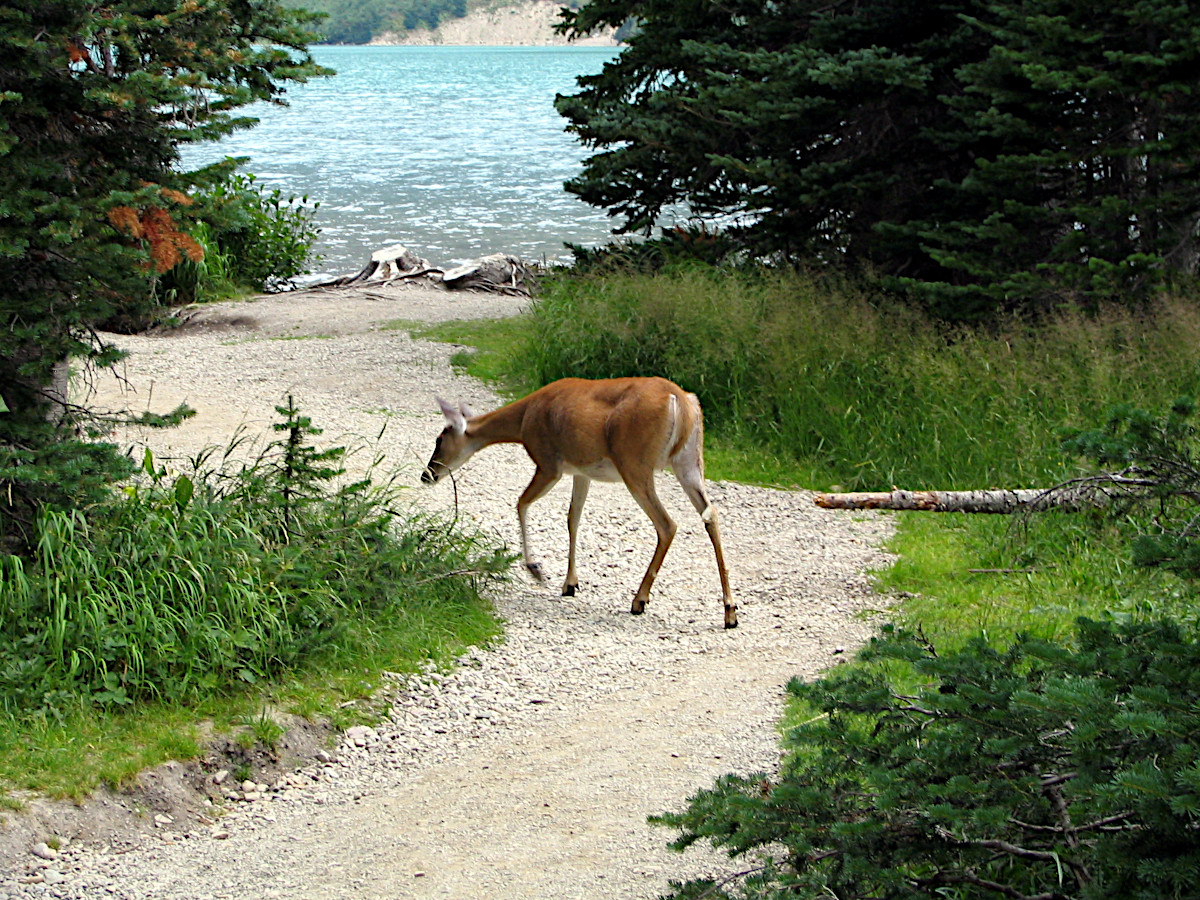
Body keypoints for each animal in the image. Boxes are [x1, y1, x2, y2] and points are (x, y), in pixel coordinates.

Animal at [422, 376, 739, 628]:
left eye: (439, 440)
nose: (427, 475)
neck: (524, 419)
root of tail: (682, 402)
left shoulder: (549, 462)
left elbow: (521, 503)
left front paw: (536, 570)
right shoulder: (581, 471)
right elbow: (573, 518)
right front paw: (570, 584)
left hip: (635, 462)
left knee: (667, 524)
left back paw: (639, 600)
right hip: (689, 461)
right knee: (711, 515)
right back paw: (730, 612)